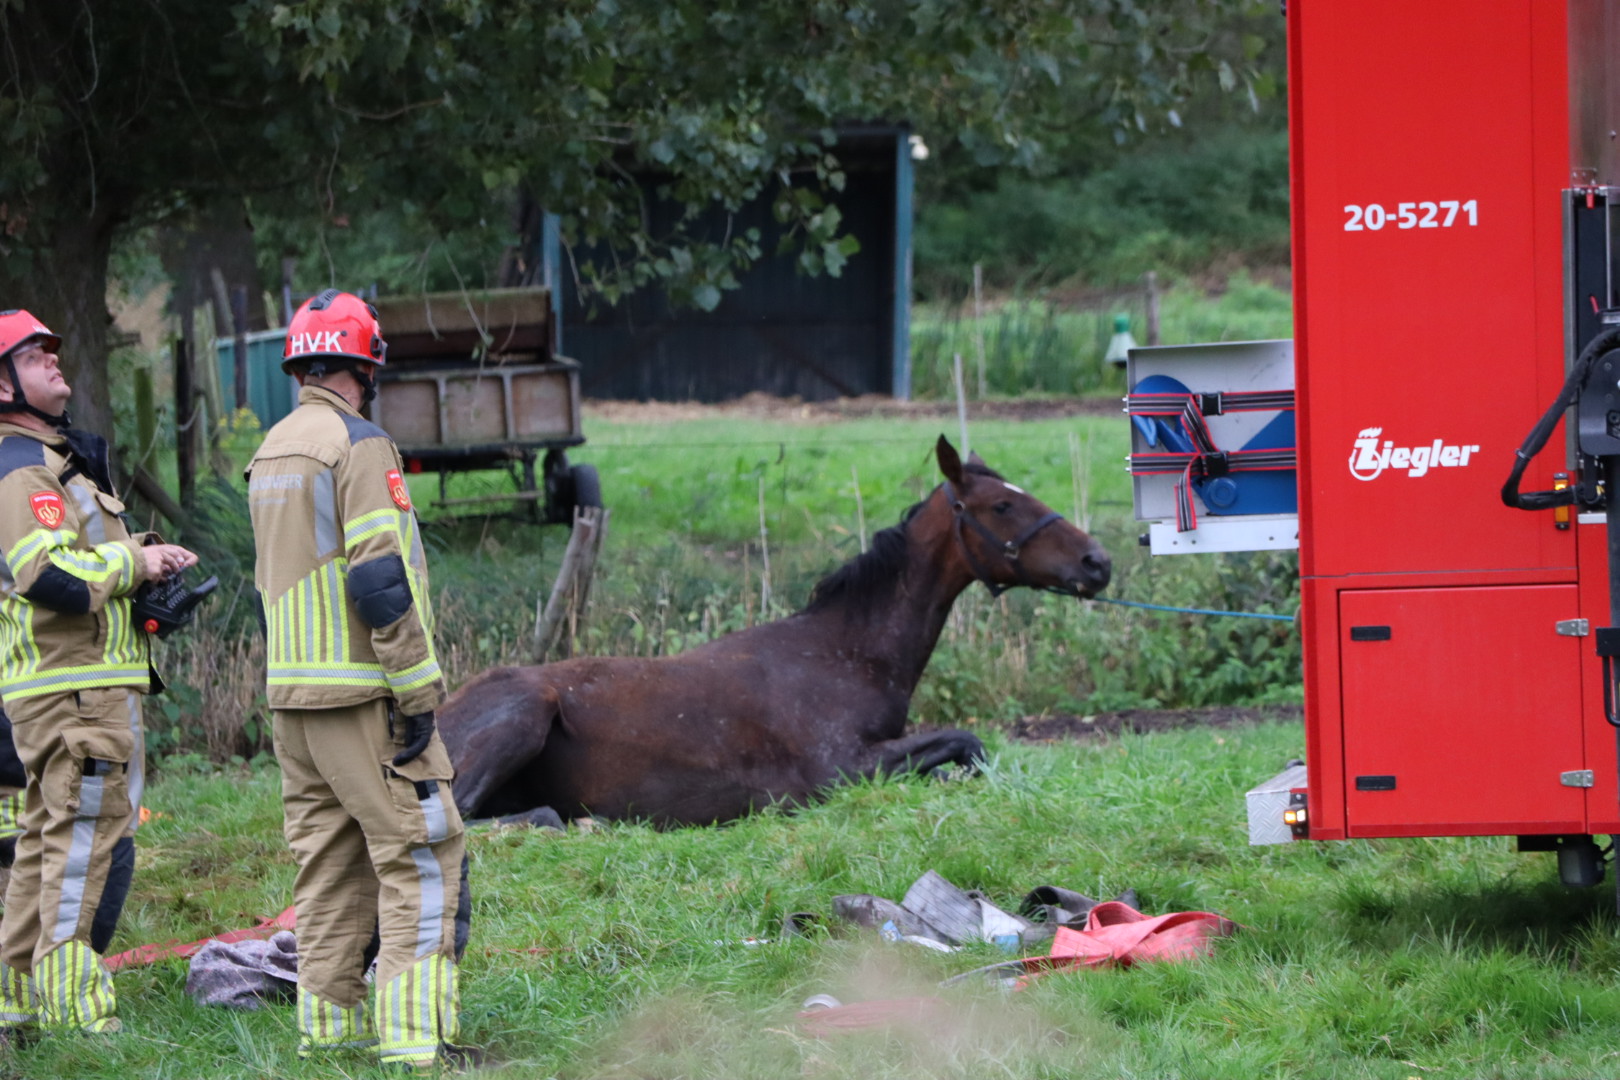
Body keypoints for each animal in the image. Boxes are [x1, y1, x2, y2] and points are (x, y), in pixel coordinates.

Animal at [437, 440, 1108, 829]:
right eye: (1002, 506)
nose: (1097, 563)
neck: (843, 654)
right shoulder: (839, 770)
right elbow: (967, 741)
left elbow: (965, 755)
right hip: (525, 713)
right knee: (466, 818)